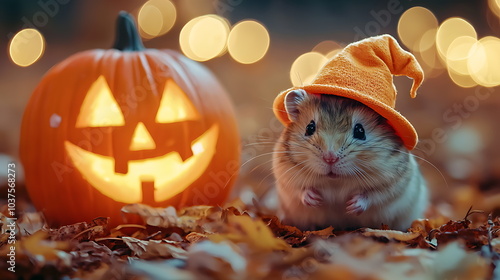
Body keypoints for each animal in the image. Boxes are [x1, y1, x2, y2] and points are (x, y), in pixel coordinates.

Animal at [272, 89, 428, 230]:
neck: (335, 182)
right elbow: (299, 190)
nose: (330, 158)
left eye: (360, 131)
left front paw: (351, 206)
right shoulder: (285, 176)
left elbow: (374, 195)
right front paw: (315, 200)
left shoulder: (393, 183)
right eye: (309, 128)